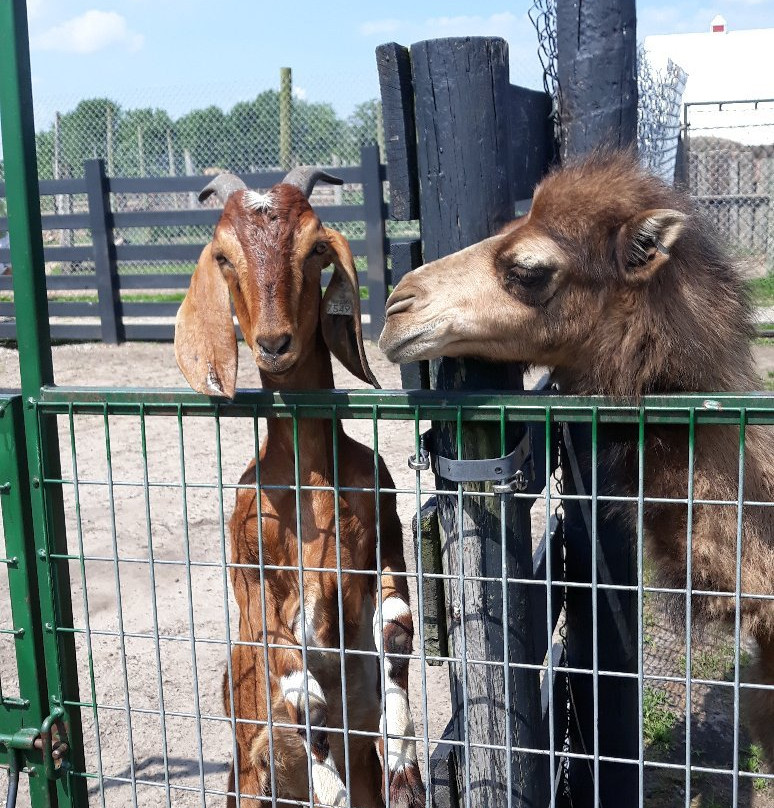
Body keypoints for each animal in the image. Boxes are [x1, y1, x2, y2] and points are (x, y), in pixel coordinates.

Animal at [175, 167, 424, 804]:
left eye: (314, 249)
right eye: (224, 256)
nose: (274, 343)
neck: (310, 479)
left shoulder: (385, 537)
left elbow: (397, 632)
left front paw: (404, 762)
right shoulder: (252, 572)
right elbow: (301, 692)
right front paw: (330, 787)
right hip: (248, 781)